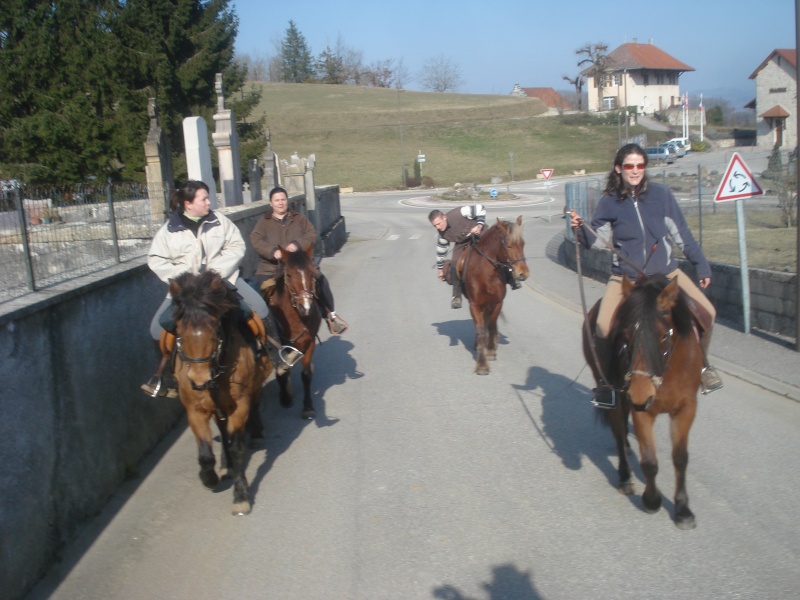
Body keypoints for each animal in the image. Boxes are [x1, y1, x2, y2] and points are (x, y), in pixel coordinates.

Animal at [170, 272, 272, 516]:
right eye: (179, 330)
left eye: (215, 328)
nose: (199, 380)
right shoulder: (195, 410)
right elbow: (206, 454)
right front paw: (209, 478)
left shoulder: (239, 405)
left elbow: (237, 448)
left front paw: (241, 496)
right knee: (222, 430)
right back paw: (225, 466)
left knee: (254, 408)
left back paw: (256, 436)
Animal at [266, 246, 322, 420]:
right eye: (289, 275)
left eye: (312, 273)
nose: (306, 307)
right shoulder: (278, 346)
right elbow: (282, 373)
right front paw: (285, 399)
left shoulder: (309, 343)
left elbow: (306, 375)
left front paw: (308, 406)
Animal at [460, 216, 528, 376]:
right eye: (508, 245)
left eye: (523, 244)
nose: (524, 274)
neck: (486, 273)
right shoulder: (475, 305)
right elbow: (480, 330)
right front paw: (482, 364)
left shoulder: (497, 303)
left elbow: (490, 325)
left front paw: (490, 350)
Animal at [580, 274, 700, 528]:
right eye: (625, 336)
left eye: (664, 335)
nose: (640, 393)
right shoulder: (642, 411)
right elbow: (650, 461)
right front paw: (652, 501)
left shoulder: (686, 409)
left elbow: (680, 458)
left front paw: (683, 509)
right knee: (618, 432)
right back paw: (625, 477)